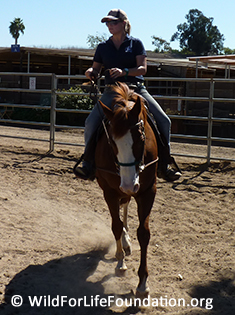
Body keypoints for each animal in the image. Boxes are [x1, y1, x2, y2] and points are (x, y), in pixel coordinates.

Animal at [94, 82, 159, 296]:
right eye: (111, 142)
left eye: (140, 138)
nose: (130, 184)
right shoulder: (109, 191)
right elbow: (115, 225)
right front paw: (120, 263)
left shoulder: (147, 191)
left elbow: (144, 233)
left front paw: (143, 284)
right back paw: (123, 245)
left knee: (126, 204)